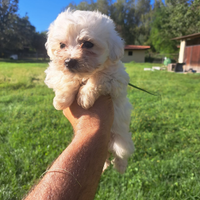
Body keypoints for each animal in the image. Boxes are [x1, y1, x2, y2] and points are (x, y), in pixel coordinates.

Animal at [44, 9, 134, 173]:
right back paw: (105, 165)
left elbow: (99, 77)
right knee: (105, 156)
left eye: (88, 44)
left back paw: (121, 167)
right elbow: (65, 77)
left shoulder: (116, 77)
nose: (69, 61)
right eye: (61, 45)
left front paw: (84, 98)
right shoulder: (54, 71)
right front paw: (61, 100)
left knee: (121, 153)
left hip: (122, 141)